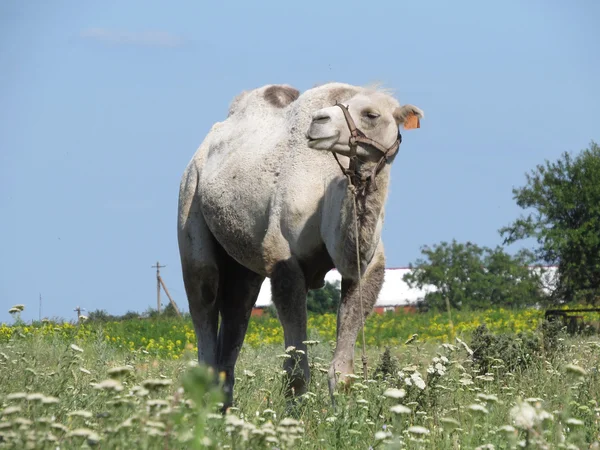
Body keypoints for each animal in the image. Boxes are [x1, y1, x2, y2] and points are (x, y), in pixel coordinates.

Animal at [176, 81, 424, 408]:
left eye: (371, 114)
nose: (318, 122)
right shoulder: (283, 259)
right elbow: (296, 368)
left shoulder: (367, 266)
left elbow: (343, 367)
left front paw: (342, 414)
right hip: (189, 203)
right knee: (203, 295)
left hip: (244, 267)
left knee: (236, 309)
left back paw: (224, 409)